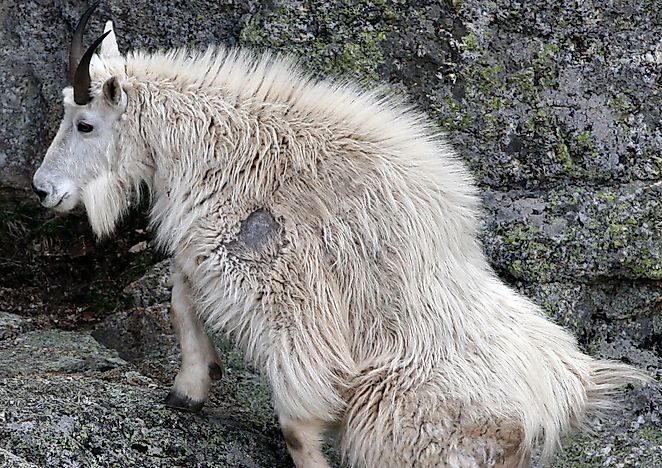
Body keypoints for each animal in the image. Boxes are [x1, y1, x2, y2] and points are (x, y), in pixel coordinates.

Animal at [32, 4, 648, 467]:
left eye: (85, 123)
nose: (43, 189)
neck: (224, 154)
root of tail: (561, 398)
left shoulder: (290, 304)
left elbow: (297, 422)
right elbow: (182, 294)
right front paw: (191, 388)